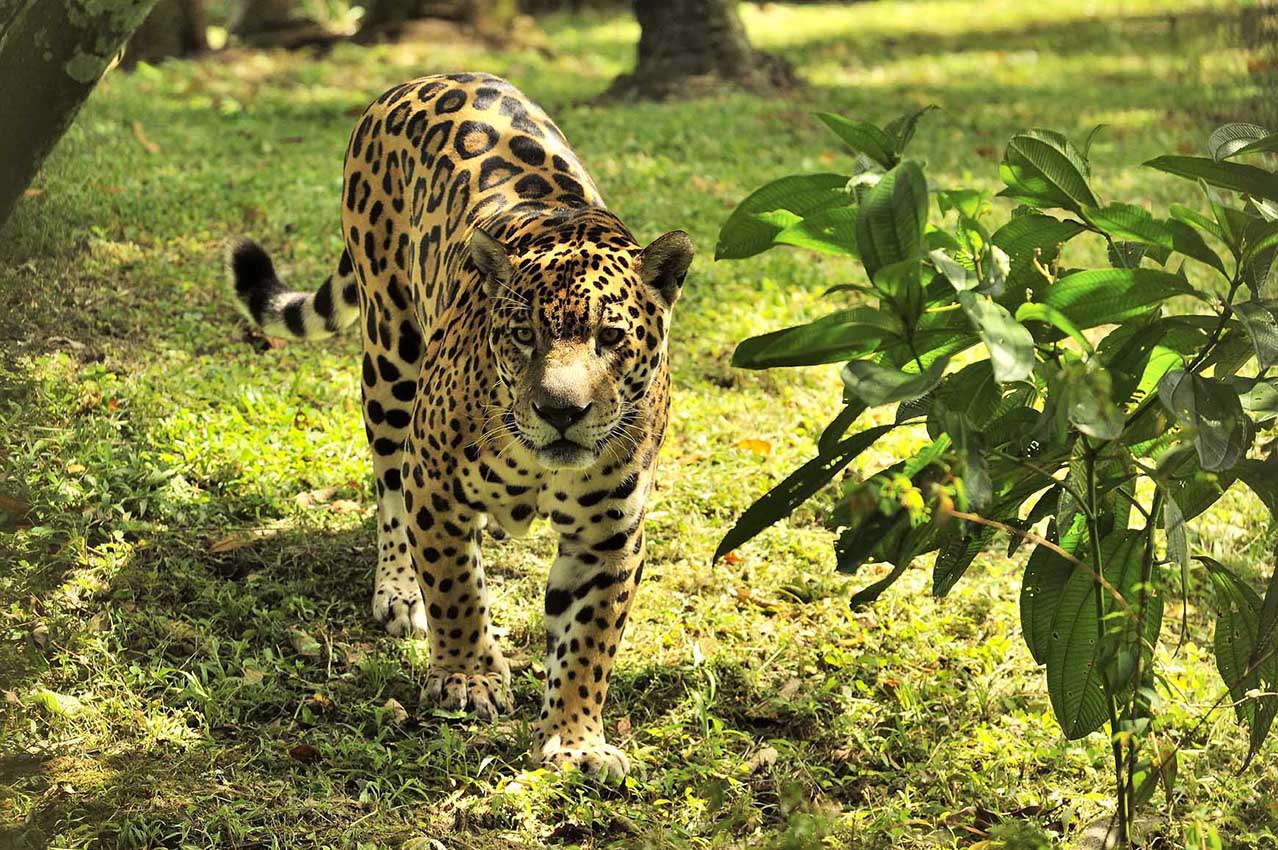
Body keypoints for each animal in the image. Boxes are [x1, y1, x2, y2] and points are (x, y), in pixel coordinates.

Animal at [229, 72, 693, 780]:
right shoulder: (436, 485)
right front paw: (467, 678)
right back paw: (398, 592)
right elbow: (454, 588)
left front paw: (576, 739)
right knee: (388, 487)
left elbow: (588, 639)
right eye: (524, 336)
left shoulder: (610, 533)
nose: (561, 412)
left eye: (611, 338)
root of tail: (420, 79)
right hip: (390, 362)